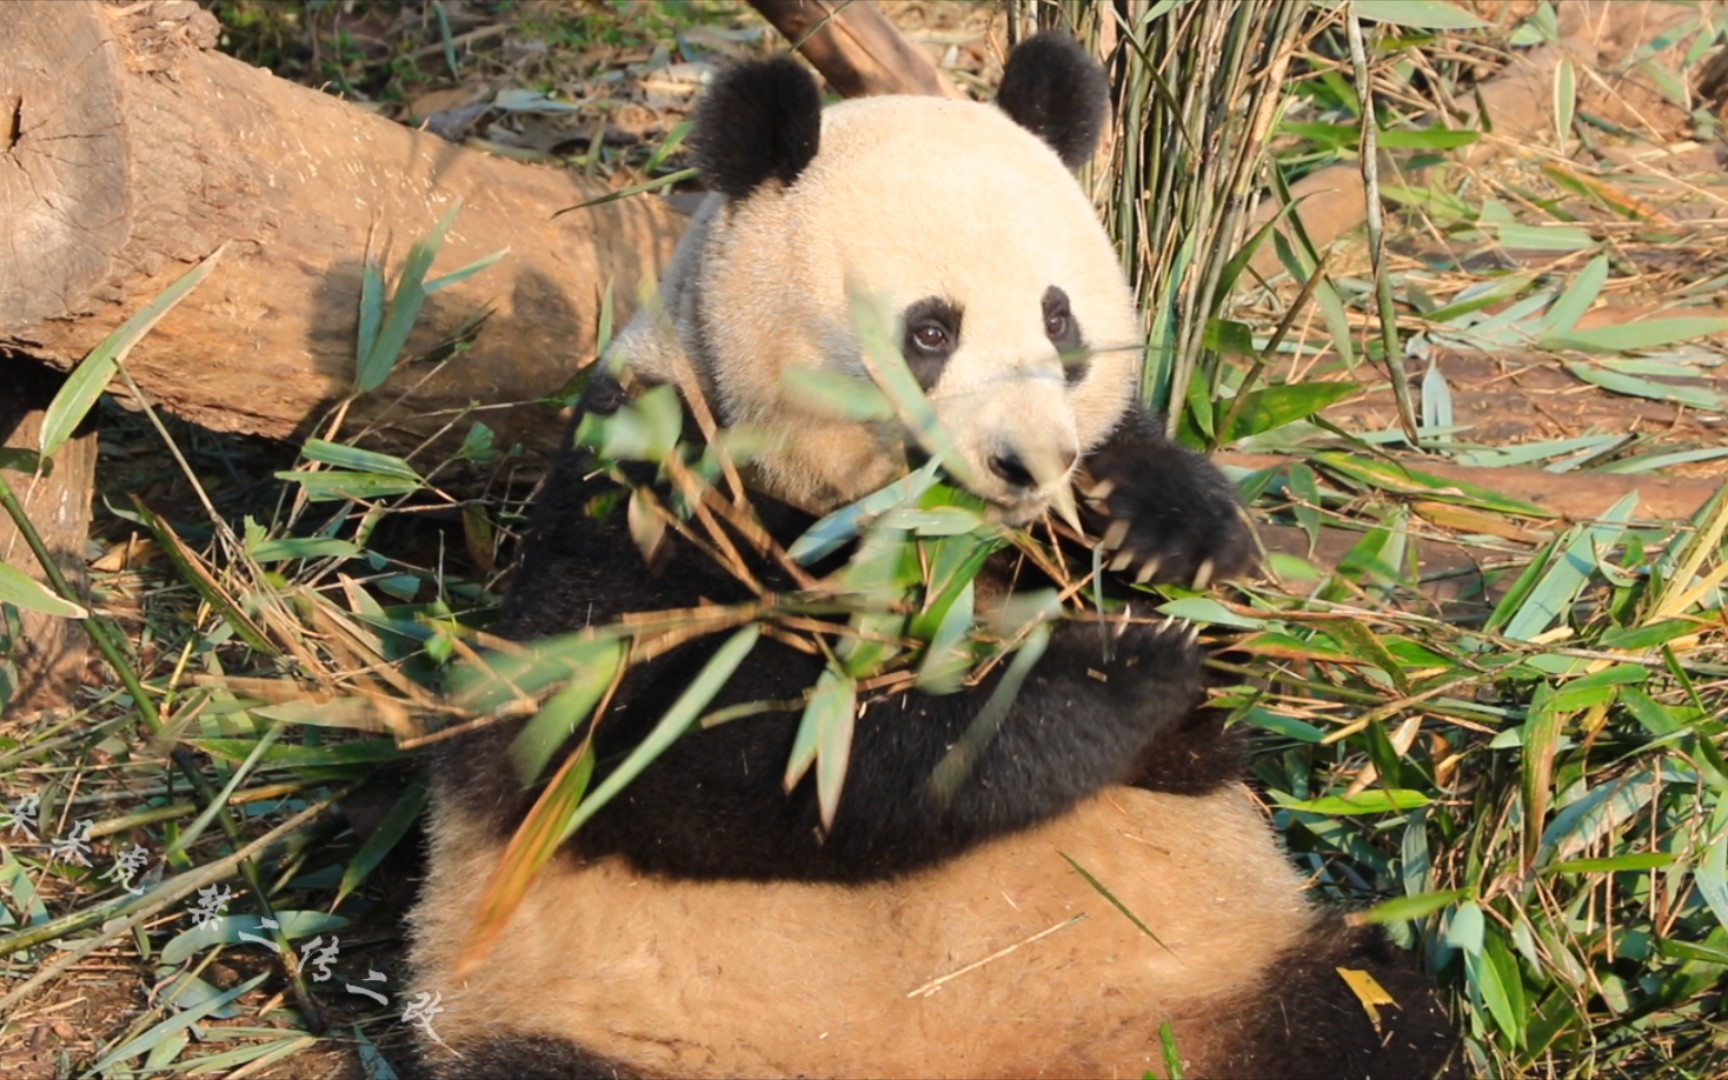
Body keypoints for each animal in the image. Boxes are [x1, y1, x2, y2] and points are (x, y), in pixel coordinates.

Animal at [411, 33, 1465, 1078]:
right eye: (930, 330)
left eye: (1058, 318)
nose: (1030, 463)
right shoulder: (642, 489)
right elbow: (687, 746)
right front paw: (1118, 671)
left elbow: (1211, 723)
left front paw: (1171, 543)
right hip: (609, 1031)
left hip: (1229, 982)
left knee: (1376, 1020)